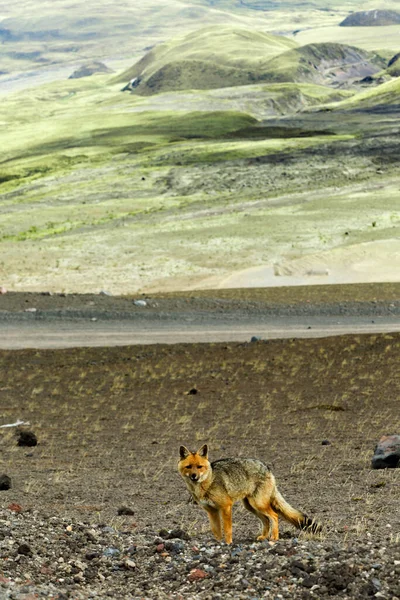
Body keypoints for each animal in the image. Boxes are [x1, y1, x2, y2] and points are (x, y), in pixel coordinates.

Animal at [177, 442, 320, 548]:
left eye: (199, 467)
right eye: (189, 467)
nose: (194, 476)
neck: (207, 483)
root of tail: (266, 466)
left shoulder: (226, 507)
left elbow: (227, 529)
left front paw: (228, 543)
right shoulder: (211, 511)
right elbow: (216, 530)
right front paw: (217, 543)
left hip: (258, 504)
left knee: (274, 516)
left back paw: (274, 538)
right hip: (251, 506)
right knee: (266, 520)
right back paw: (264, 537)